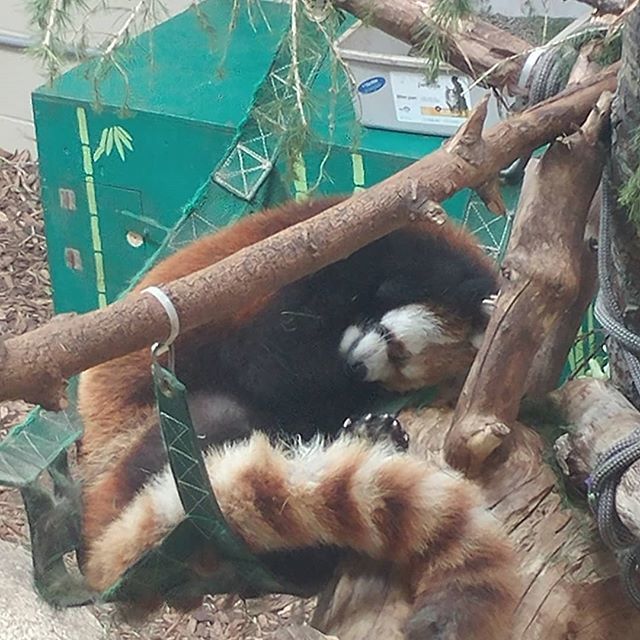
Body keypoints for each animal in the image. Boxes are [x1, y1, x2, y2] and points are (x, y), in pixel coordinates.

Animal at [76, 195, 517, 639]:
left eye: (399, 371)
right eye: (394, 345)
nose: (357, 368)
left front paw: (364, 420)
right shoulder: (330, 265)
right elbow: (266, 366)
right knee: (216, 416)